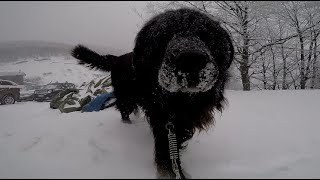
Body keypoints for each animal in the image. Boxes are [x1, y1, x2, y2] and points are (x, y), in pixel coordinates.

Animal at [71, 8, 234, 179]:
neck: (182, 100)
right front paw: (171, 172)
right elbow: (166, 151)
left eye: (205, 34)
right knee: (124, 111)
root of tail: (116, 59)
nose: (191, 59)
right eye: (164, 35)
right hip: (126, 98)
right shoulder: (163, 121)